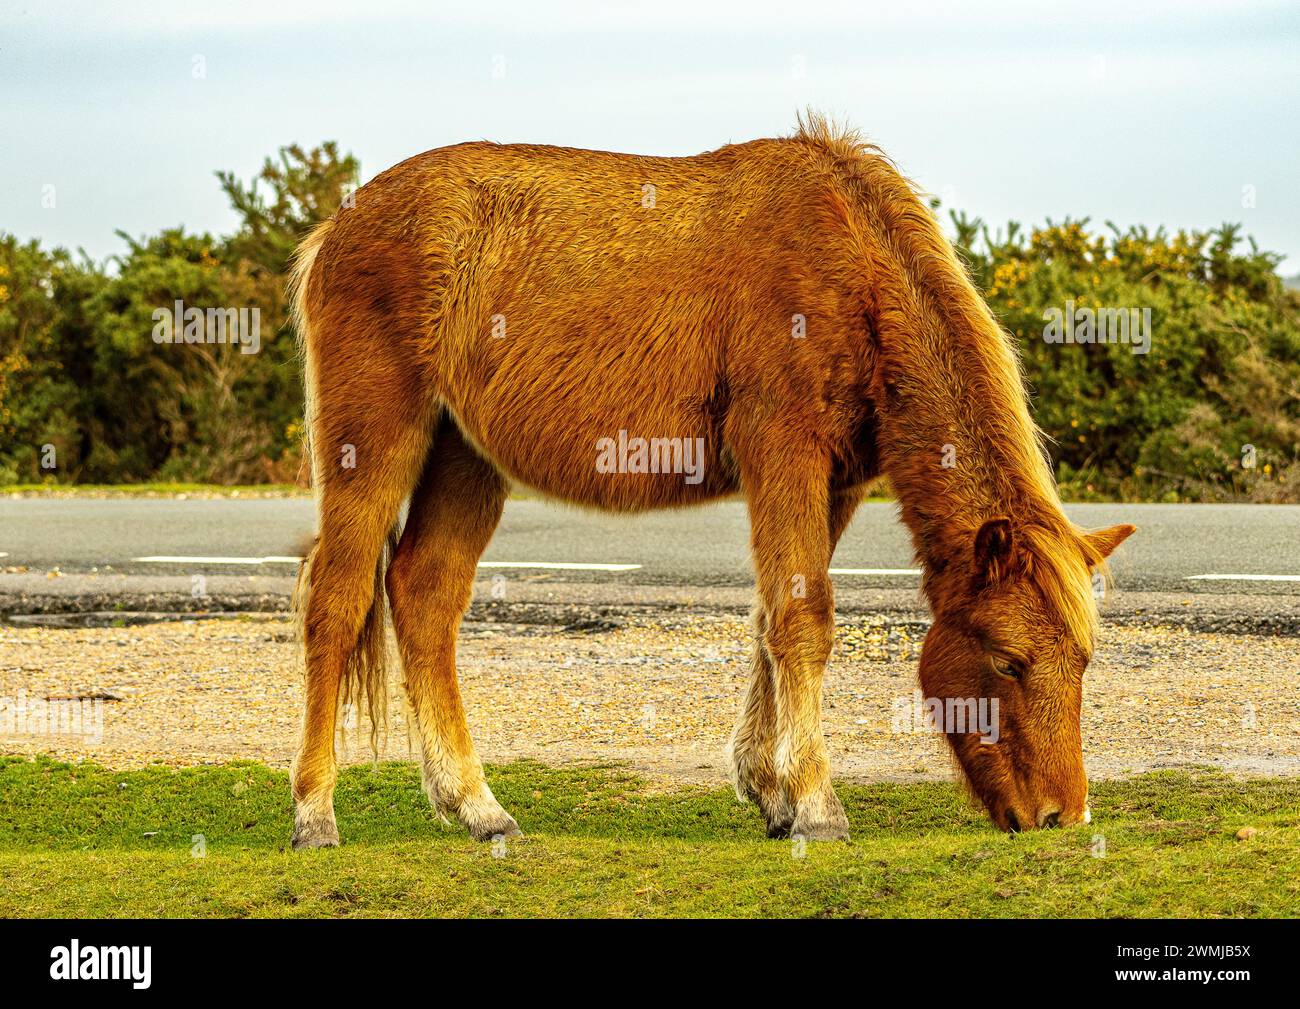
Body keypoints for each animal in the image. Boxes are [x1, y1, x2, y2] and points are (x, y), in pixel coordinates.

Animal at [286, 114, 1134, 847]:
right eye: (1007, 660)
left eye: (1083, 661)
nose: (1062, 815)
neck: (850, 265)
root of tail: (341, 226)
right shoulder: (783, 455)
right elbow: (803, 620)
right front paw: (817, 804)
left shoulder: (836, 483)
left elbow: (772, 618)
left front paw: (771, 790)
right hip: (376, 441)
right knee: (338, 599)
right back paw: (315, 812)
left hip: (465, 456)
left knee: (424, 593)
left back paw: (476, 806)